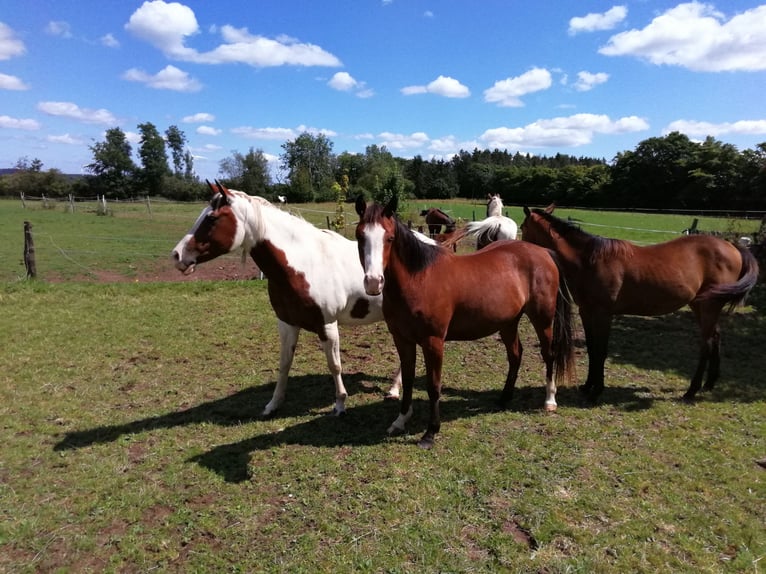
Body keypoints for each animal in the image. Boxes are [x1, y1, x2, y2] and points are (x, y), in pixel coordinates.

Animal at [171, 182, 404, 416]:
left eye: (212, 218)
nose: (177, 255)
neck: (305, 264)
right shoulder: (287, 323)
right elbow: (284, 364)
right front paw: (273, 404)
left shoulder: (327, 325)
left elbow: (334, 365)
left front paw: (339, 404)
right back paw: (393, 389)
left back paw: (393, 391)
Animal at [356, 196, 576, 452]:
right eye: (360, 236)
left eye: (389, 238)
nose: (373, 282)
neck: (418, 279)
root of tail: (544, 252)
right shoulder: (402, 339)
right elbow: (408, 380)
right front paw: (400, 421)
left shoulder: (433, 342)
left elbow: (433, 386)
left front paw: (430, 433)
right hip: (508, 322)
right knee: (515, 355)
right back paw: (504, 398)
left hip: (543, 319)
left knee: (548, 355)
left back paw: (550, 400)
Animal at [520, 205, 760, 402]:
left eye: (522, 226)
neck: (590, 260)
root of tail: (734, 247)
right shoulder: (586, 312)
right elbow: (591, 349)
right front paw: (587, 386)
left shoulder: (603, 314)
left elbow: (601, 350)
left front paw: (597, 390)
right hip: (701, 306)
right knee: (716, 337)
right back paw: (709, 384)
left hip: (709, 306)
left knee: (707, 344)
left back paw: (691, 390)